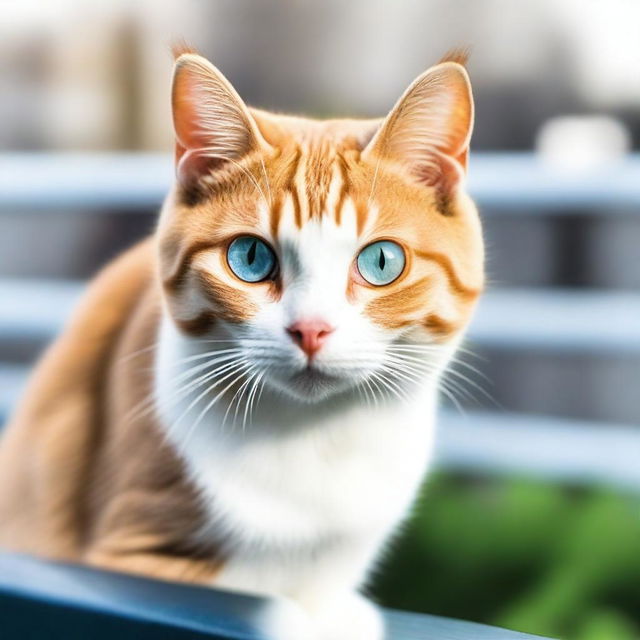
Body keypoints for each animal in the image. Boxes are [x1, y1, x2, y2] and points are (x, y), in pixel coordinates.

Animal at [0, 47, 482, 636]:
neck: (314, 440)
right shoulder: (134, 557)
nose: (311, 329)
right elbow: (264, 603)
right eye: (250, 258)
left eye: (381, 261)